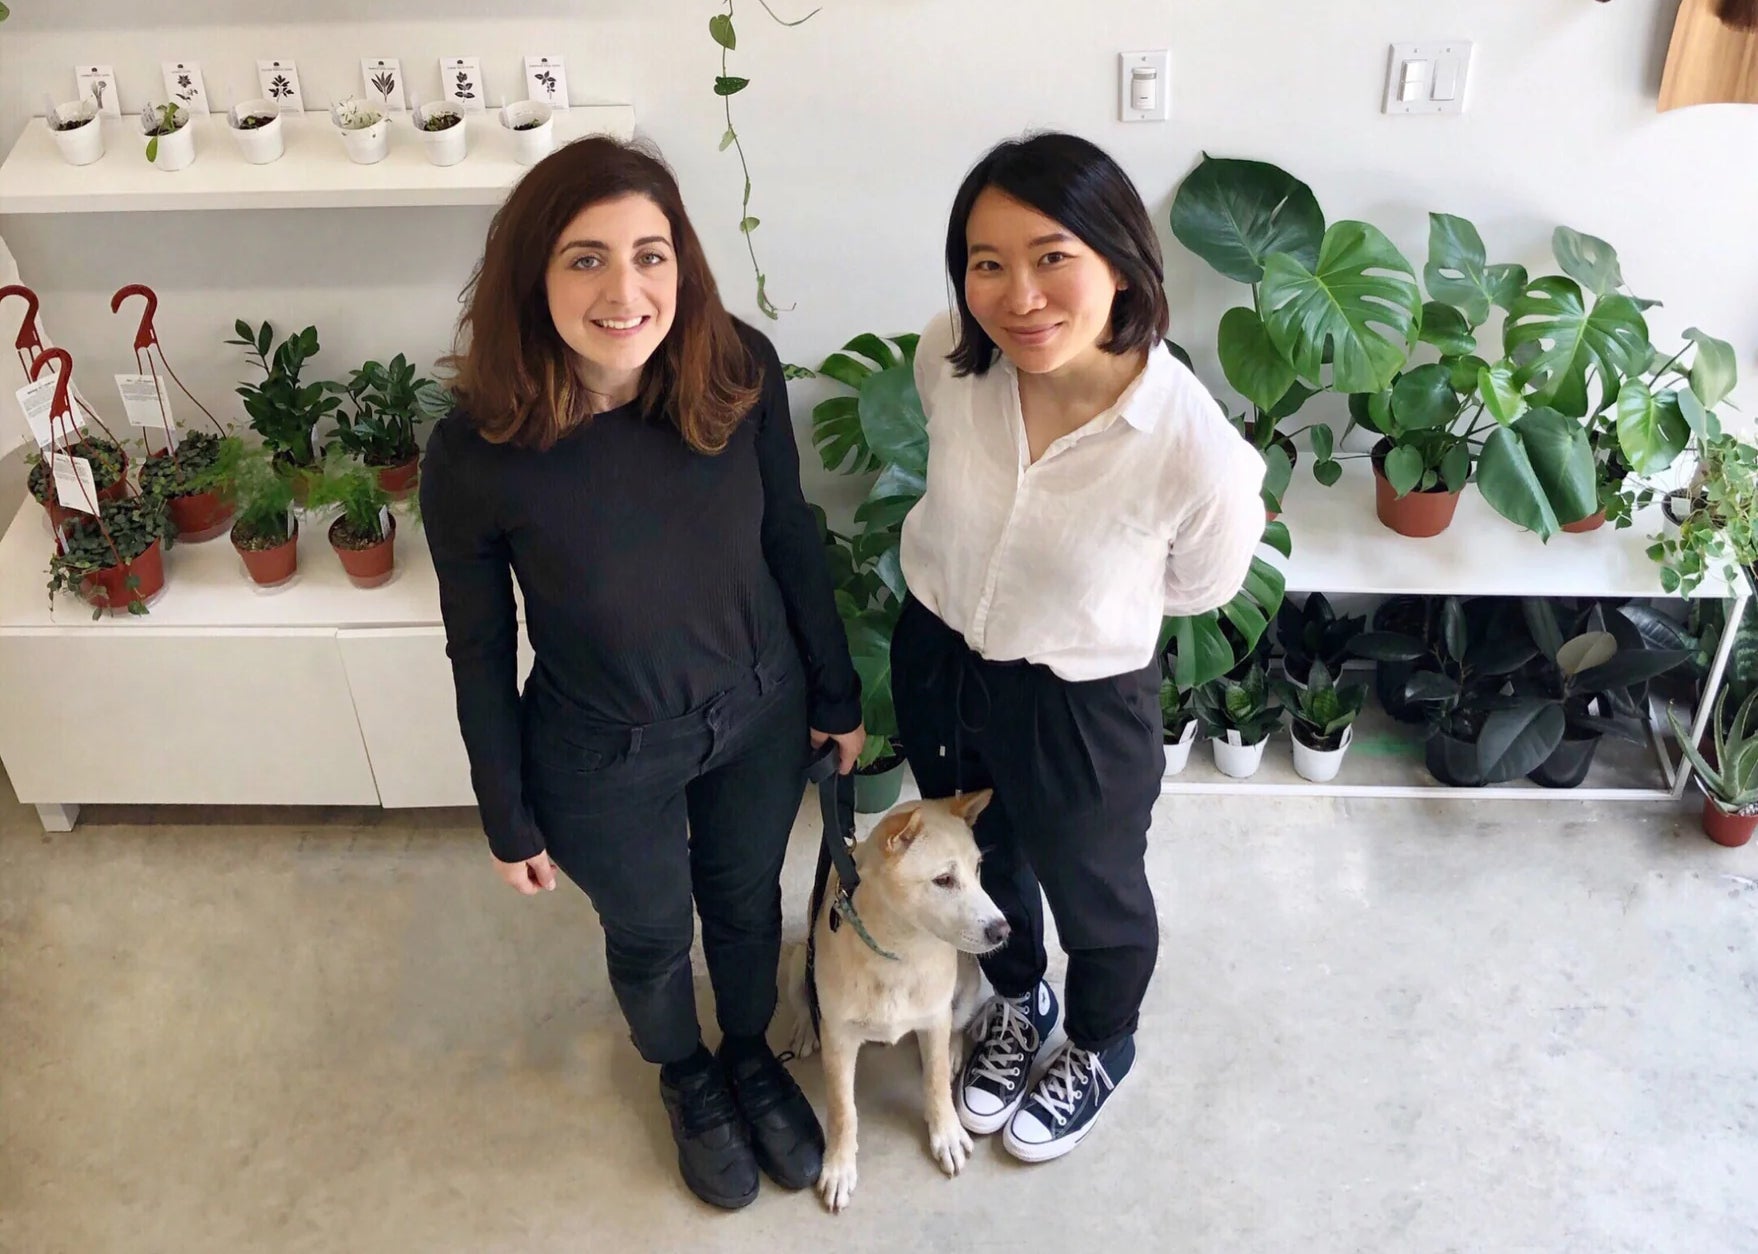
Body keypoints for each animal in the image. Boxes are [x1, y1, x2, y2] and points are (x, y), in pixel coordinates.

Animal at [780, 791, 1012, 1210]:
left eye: (978, 868)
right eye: (943, 880)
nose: (1003, 930)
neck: (901, 954)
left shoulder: (934, 1015)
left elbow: (935, 1083)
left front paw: (946, 1133)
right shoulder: (839, 1039)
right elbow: (843, 1110)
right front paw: (839, 1167)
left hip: (968, 975)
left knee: (955, 1025)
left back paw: (952, 1050)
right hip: (797, 961)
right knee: (804, 999)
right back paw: (805, 1027)